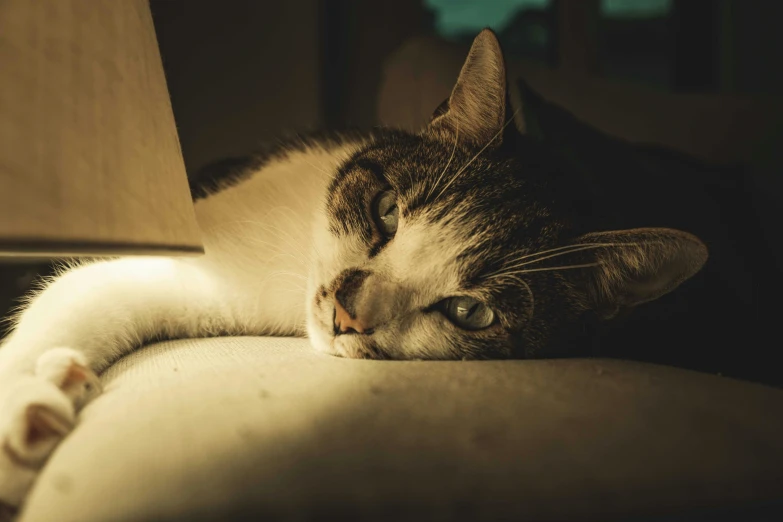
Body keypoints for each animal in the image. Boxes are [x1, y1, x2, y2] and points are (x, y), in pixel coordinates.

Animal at [0, 29, 712, 508]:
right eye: (387, 211)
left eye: (471, 311)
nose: (348, 309)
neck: (287, 276)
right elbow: (80, 288)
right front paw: (24, 407)